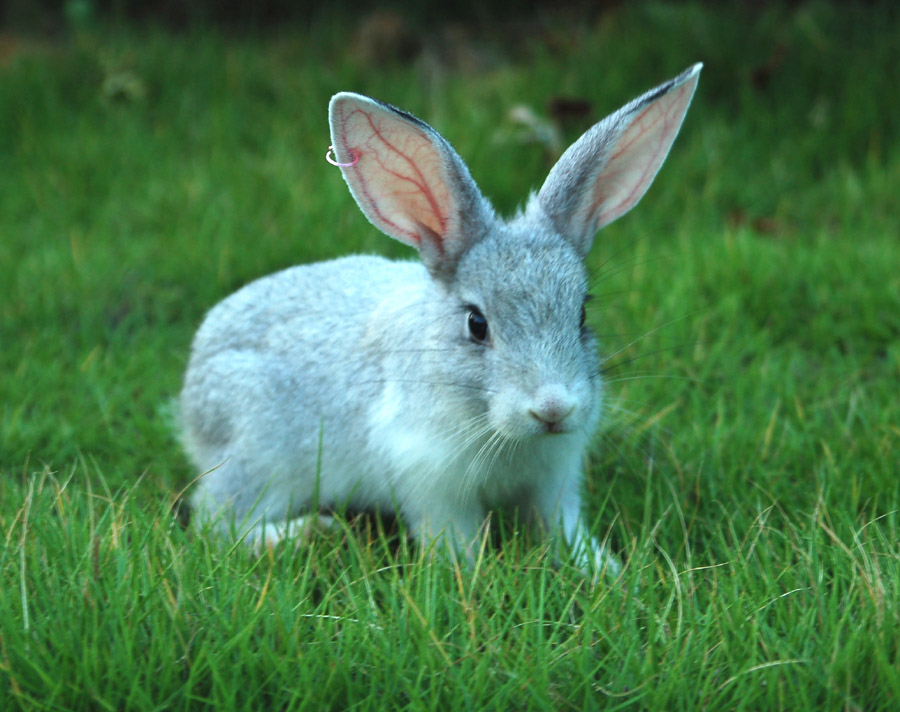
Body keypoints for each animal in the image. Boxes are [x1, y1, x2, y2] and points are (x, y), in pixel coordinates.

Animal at [179, 62, 704, 572]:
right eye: (476, 324)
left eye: (581, 313)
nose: (553, 409)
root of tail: (192, 389)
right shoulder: (431, 481)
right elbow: (453, 537)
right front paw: (468, 575)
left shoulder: (553, 481)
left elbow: (562, 529)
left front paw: (604, 570)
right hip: (262, 456)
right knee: (215, 520)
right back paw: (310, 533)